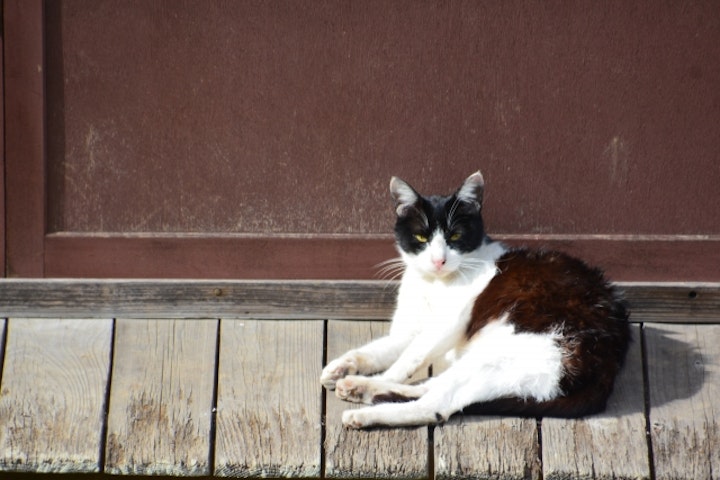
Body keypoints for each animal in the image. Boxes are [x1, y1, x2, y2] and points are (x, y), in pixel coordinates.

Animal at [320, 171, 632, 430]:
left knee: (435, 406)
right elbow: (375, 350)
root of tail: (609, 363)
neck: (433, 283)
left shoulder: (445, 325)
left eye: (455, 235)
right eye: (421, 237)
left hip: (503, 353)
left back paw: (364, 410)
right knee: (433, 387)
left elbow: (409, 358)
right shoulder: (409, 330)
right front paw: (341, 366)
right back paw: (358, 387)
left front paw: (380, 377)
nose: (438, 260)